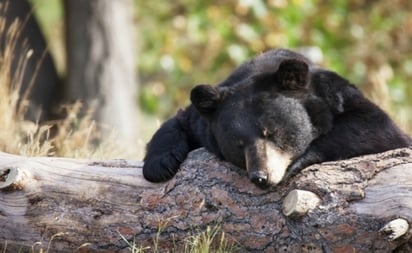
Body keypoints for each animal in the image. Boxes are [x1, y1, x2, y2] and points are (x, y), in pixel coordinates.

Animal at [142, 49, 412, 188]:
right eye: (238, 144)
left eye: (270, 132)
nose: (260, 177)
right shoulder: (204, 120)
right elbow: (178, 121)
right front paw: (160, 165)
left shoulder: (338, 96)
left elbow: (376, 129)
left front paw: (298, 160)